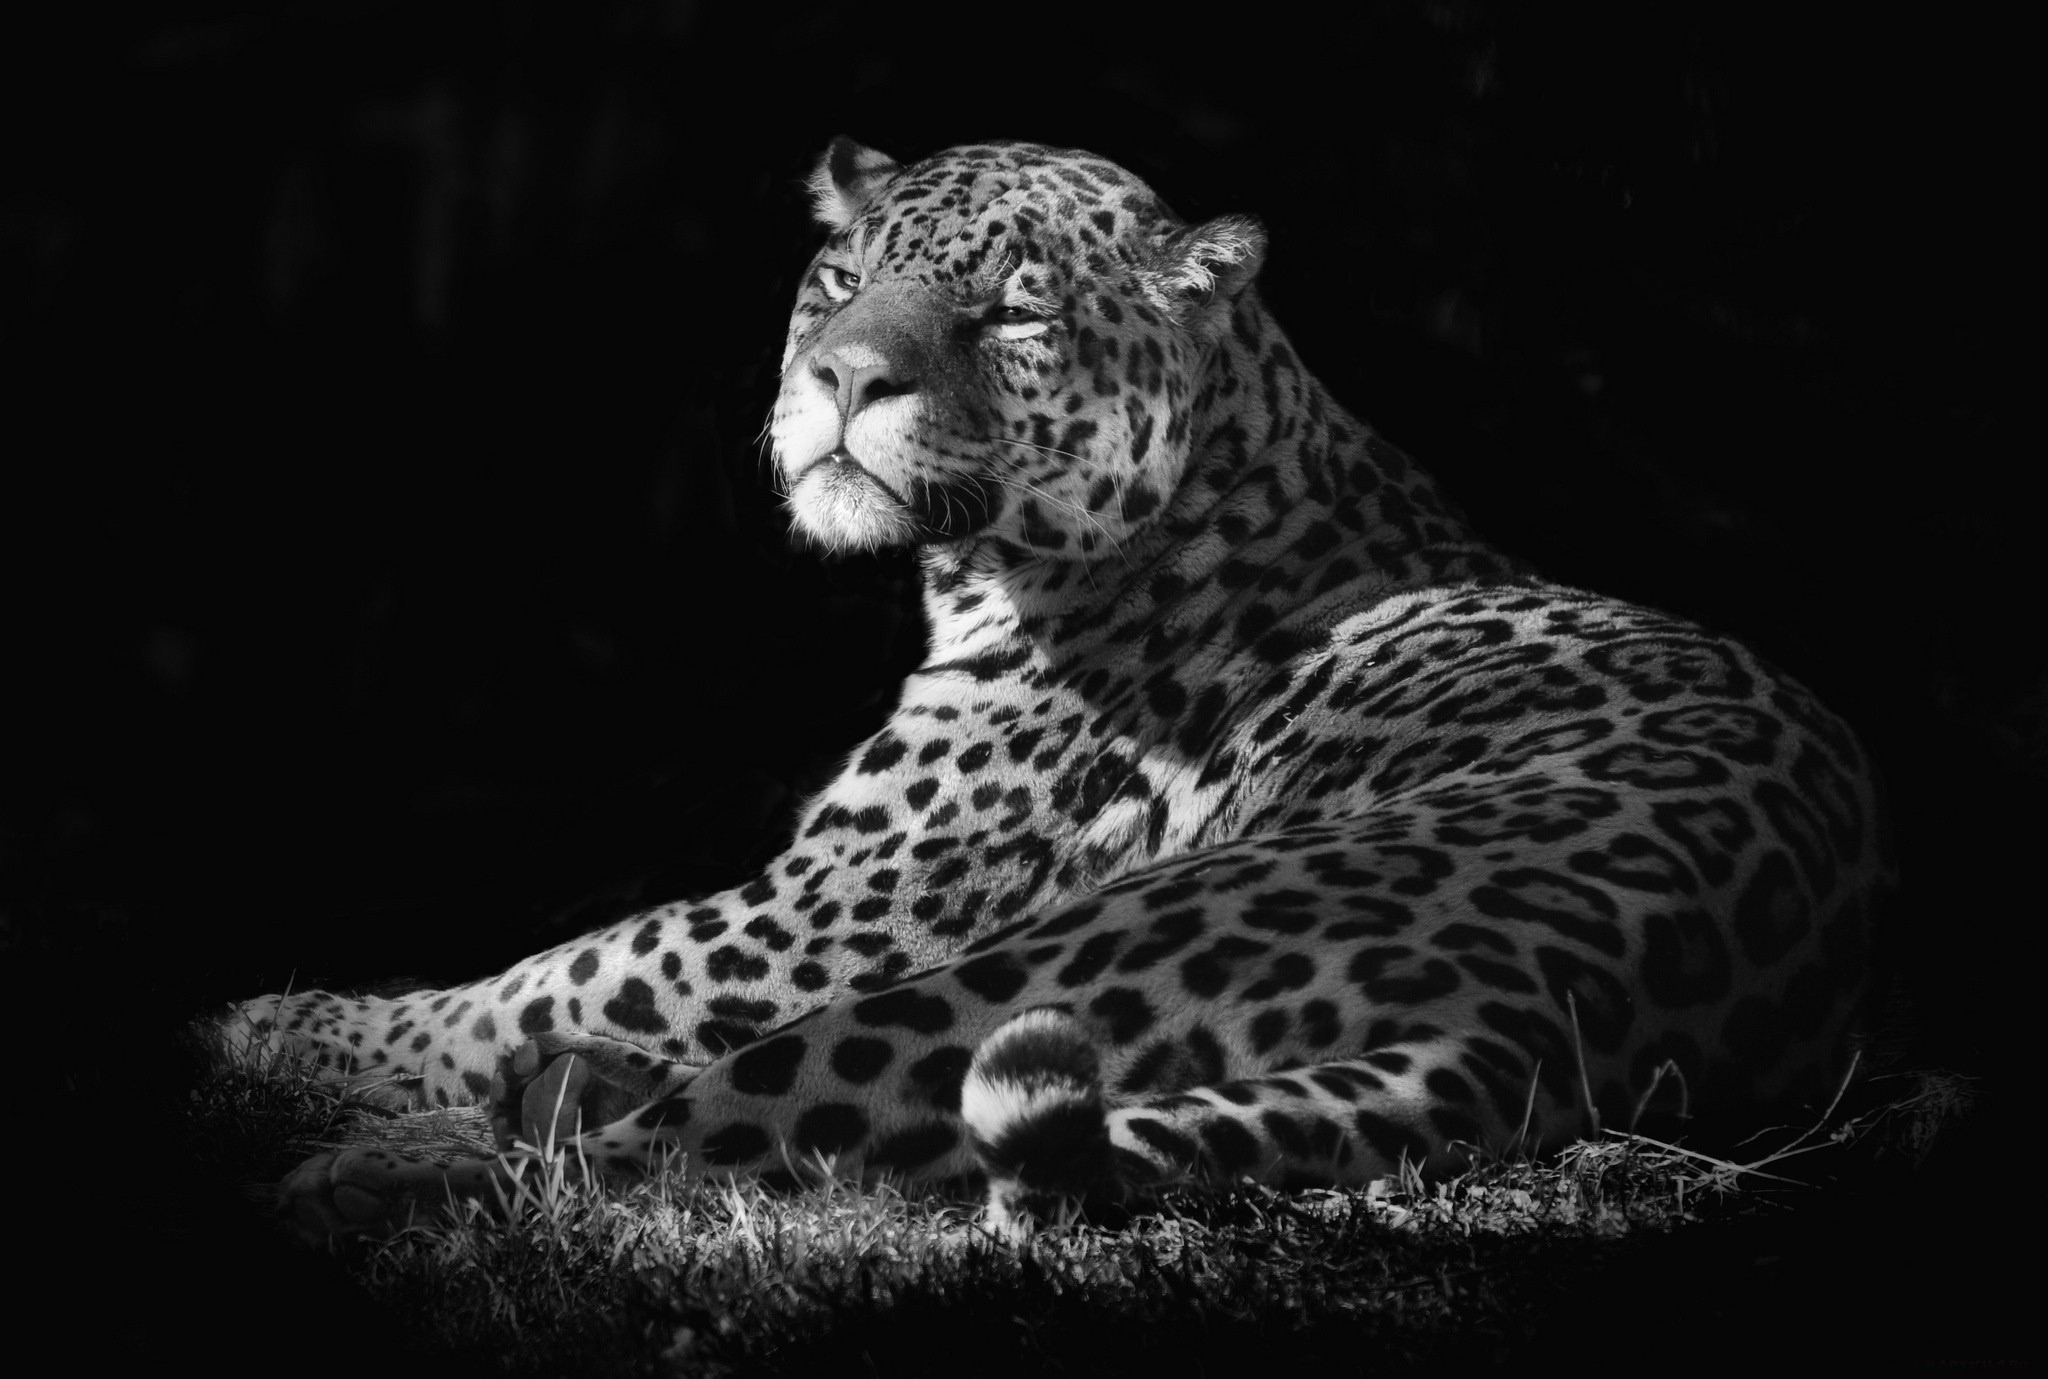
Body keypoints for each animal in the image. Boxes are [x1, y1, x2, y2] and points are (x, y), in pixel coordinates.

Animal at [228, 138, 1889, 1242]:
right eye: (839, 283)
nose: (841, 379)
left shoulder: (832, 908)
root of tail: (1583, 1006)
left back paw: (387, 1171)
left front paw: (282, 1032)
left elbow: (560, 961)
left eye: (1012, 317)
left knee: (667, 1152)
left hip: (1059, 953)